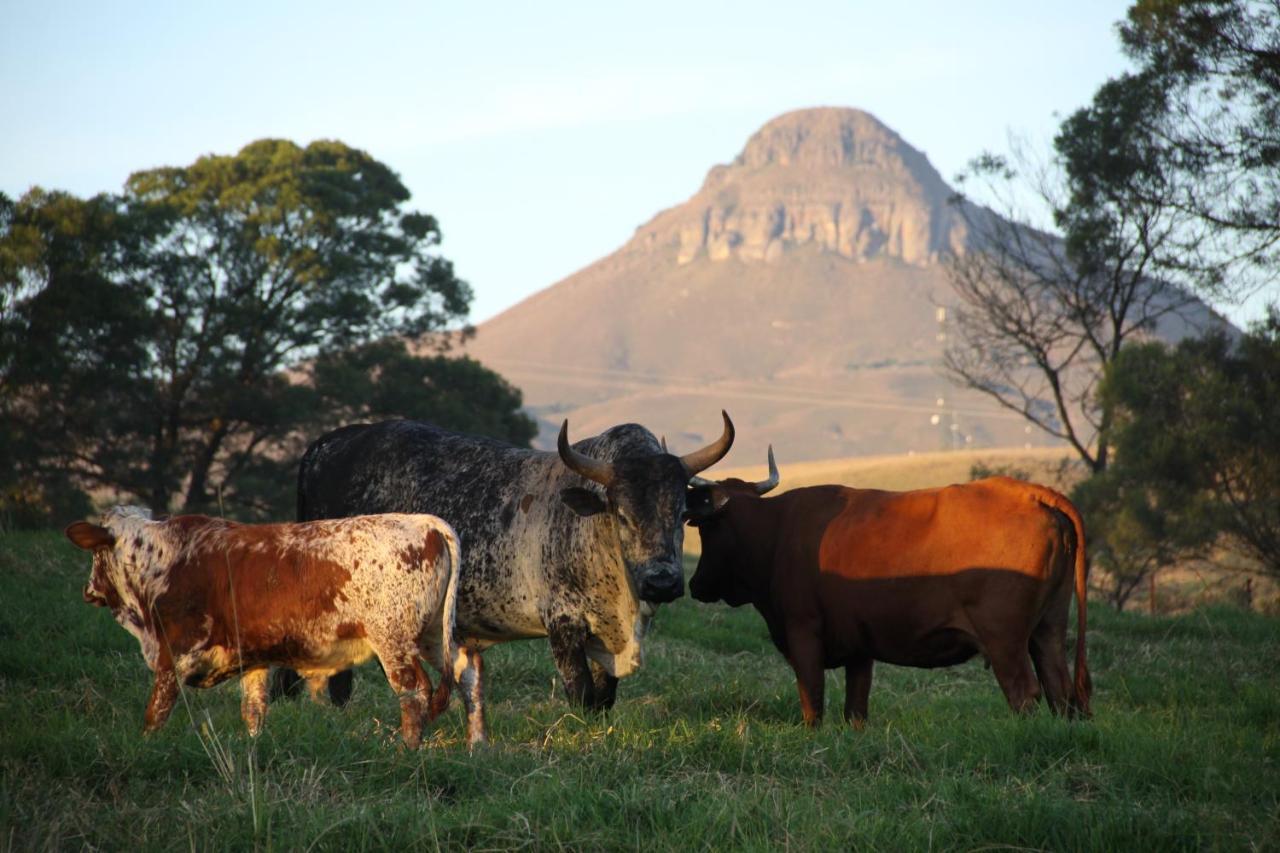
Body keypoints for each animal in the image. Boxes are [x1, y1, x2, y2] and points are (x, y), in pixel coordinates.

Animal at [64, 504, 463, 742]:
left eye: (95, 552)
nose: (87, 590)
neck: (163, 559)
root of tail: (422, 521)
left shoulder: (175, 654)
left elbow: (155, 713)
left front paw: (148, 745)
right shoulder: (253, 659)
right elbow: (254, 710)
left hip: (394, 643)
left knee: (414, 692)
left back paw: (406, 748)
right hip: (434, 636)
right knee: (463, 676)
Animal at [293, 409, 732, 737]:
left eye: (682, 513)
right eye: (621, 513)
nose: (662, 580)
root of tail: (328, 444)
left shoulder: (607, 640)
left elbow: (604, 698)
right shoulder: (564, 625)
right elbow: (583, 696)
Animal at [691, 455, 1090, 727]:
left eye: (705, 529)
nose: (694, 584)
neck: (776, 533)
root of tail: (1031, 493)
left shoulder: (802, 633)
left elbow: (813, 706)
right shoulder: (858, 648)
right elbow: (855, 711)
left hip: (1004, 641)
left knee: (1025, 694)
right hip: (1049, 628)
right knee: (1060, 691)